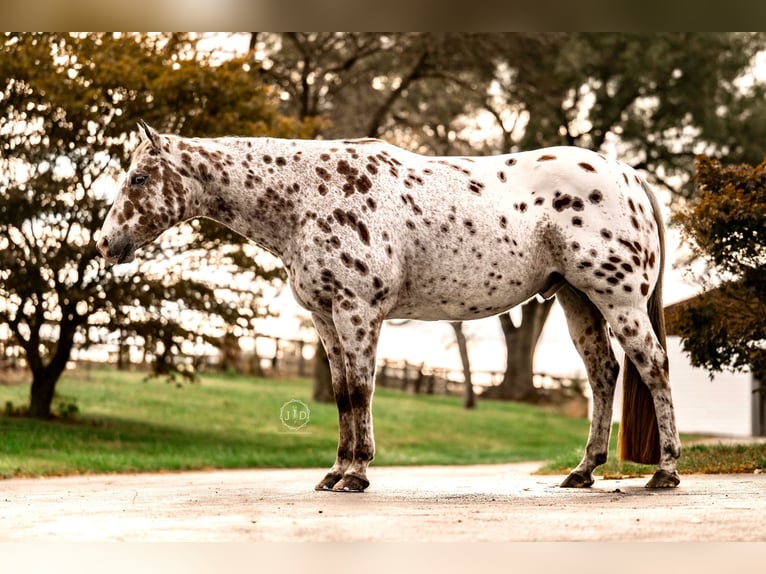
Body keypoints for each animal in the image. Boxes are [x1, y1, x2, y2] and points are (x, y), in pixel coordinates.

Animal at [98, 122, 681, 492]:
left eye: (139, 178)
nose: (105, 243)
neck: (307, 195)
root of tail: (628, 175)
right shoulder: (325, 317)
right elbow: (341, 394)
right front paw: (335, 472)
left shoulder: (357, 311)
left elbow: (360, 390)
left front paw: (356, 475)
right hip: (577, 299)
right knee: (603, 374)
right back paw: (583, 471)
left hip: (619, 299)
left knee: (653, 366)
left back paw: (665, 472)